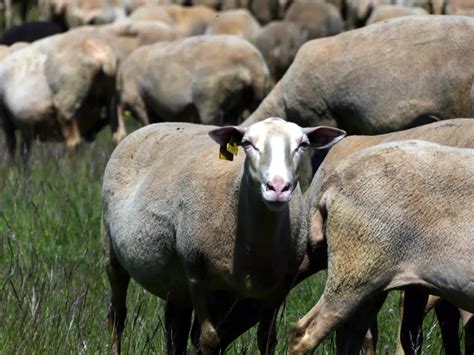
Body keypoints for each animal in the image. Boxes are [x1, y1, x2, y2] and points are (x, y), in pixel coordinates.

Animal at [102, 118, 344, 354]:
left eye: (303, 144)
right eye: (247, 143)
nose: (277, 187)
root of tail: (152, 125)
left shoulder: (278, 289)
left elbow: (267, 339)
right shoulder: (197, 277)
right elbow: (208, 340)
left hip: (177, 284)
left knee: (174, 328)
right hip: (111, 249)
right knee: (117, 315)